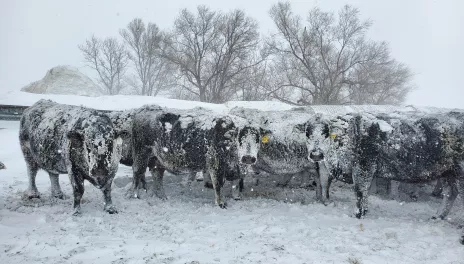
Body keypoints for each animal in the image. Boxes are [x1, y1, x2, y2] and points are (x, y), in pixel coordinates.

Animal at [129, 106, 260, 207]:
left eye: (257, 139)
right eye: (240, 138)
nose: (248, 157)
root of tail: (144, 110)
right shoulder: (215, 162)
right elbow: (218, 183)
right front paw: (221, 203)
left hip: (157, 160)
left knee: (157, 176)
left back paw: (162, 197)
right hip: (141, 154)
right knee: (137, 173)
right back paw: (135, 196)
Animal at [306, 110, 464, 243]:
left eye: (326, 132)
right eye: (307, 133)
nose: (316, 154)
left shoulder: (363, 167)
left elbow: (360, 191)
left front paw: (358, 214)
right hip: (447, 172)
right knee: (450, 193)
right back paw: (437, 217)